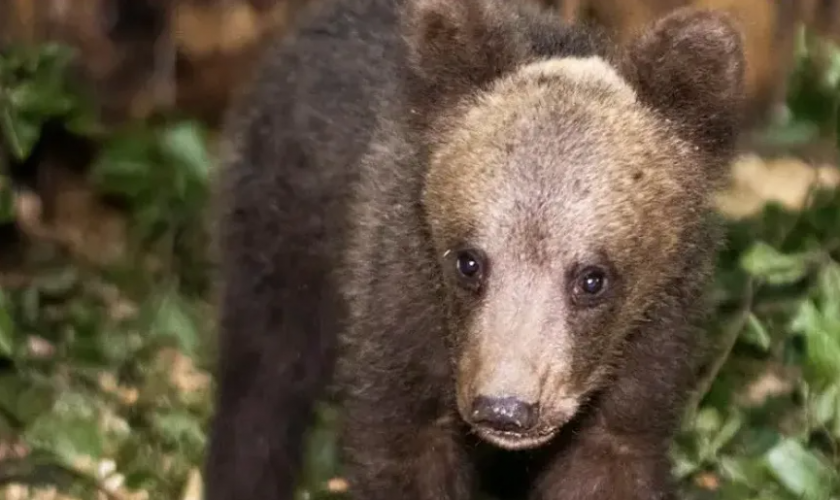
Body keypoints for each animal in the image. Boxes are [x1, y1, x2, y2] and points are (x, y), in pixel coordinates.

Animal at [203, 0, 740, 498]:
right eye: (468, 262)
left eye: (592, 279)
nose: (506, 408)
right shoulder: (399, 320)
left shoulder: (650, 353)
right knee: (264, 380)